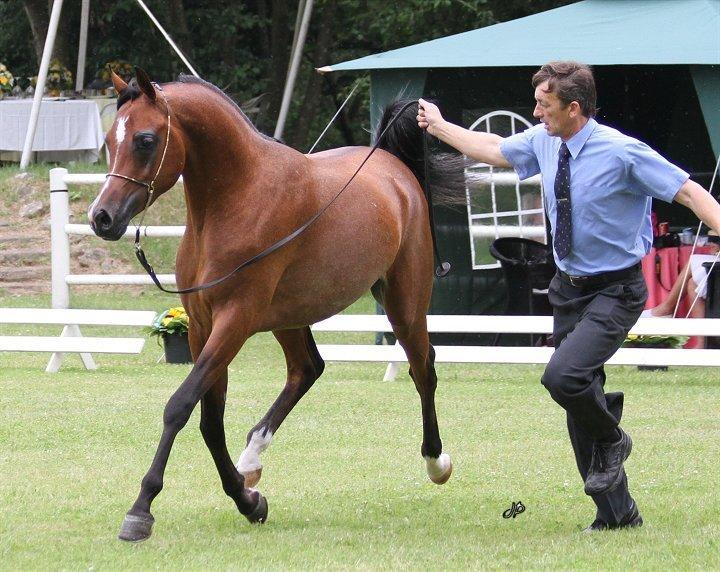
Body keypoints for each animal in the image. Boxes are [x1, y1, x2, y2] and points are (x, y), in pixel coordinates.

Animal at [90, 69, 462, 544]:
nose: (102, 217)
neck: (238, 200)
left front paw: (141, 510)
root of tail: (392, 167)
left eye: (145, 140)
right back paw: (252, 458)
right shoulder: (202, 326)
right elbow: (210, 422)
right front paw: (248, 501)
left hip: (404, 303)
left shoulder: (235, 320)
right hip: (291, 316)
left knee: (422, 368)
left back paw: (436, 461)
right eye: (109, 139)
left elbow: (180, 406)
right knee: (307, 369)